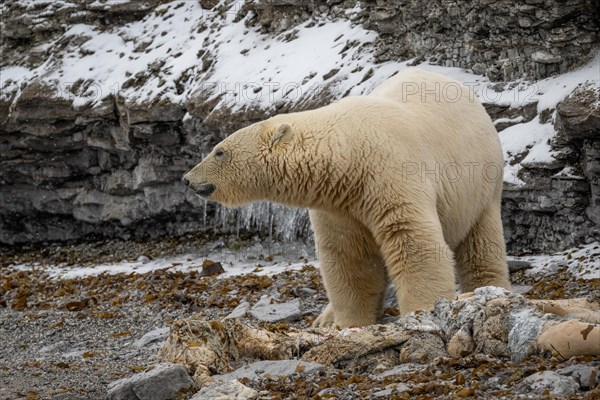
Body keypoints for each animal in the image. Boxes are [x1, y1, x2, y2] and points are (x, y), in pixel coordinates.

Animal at [184, 69, 510, 328]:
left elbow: (413, 242)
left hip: (480, 184)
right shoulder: (340, 202)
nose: (187, 179)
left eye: (219, 151)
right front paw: (349, 323)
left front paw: (422, 309)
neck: (348, 155)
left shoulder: (390, 175)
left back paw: (486, 289)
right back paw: (324, 318)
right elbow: (350, 257)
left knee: (481, 243)